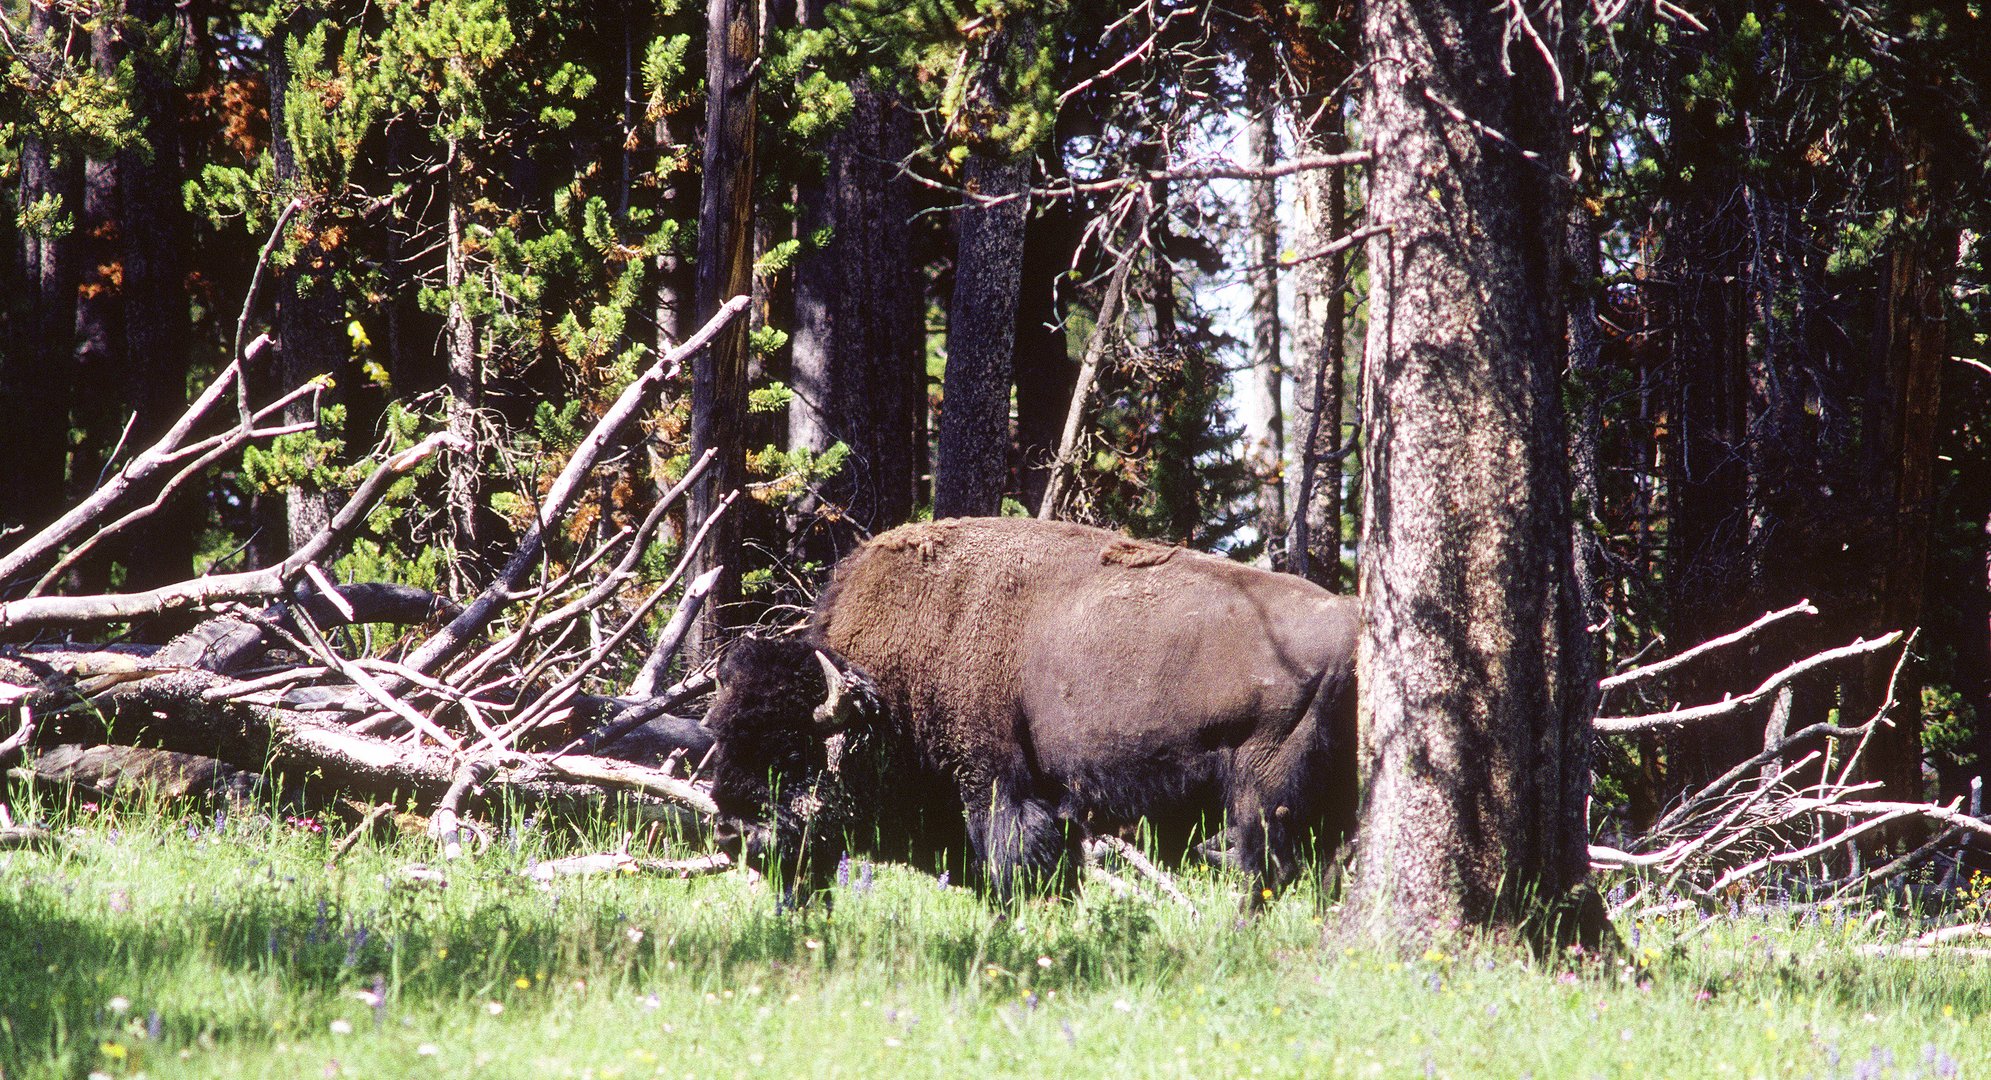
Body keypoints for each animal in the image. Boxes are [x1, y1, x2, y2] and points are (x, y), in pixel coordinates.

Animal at [696, 518, 1353, 904]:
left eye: (791, 750)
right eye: (722, 733)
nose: (730, 830)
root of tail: (1350, 629)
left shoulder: (998, 784)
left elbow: (1012, 859)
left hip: (1262, 794)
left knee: (1270, 869)